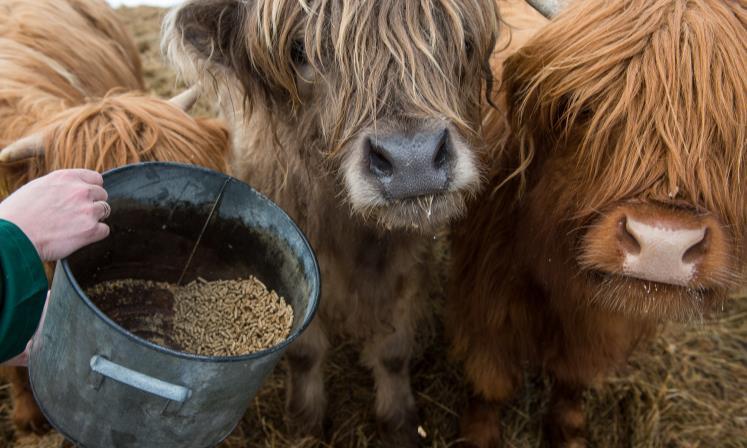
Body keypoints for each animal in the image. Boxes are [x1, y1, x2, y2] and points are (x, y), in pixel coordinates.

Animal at [164, 0, 502, 444]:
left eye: (464, 41)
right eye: (299, 52)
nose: (413, 162)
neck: (352, 235)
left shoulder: (408, 264)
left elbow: (394, 352)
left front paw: (400, 422)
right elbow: (305, 351)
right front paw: (306, 421)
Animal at [450, 0, 747, 446]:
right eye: (583, 110)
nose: (663, 244)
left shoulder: (604, 328)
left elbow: (573, 380)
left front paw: (569, 433)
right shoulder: (485, 299)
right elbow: (491, 383)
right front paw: (480, 436)